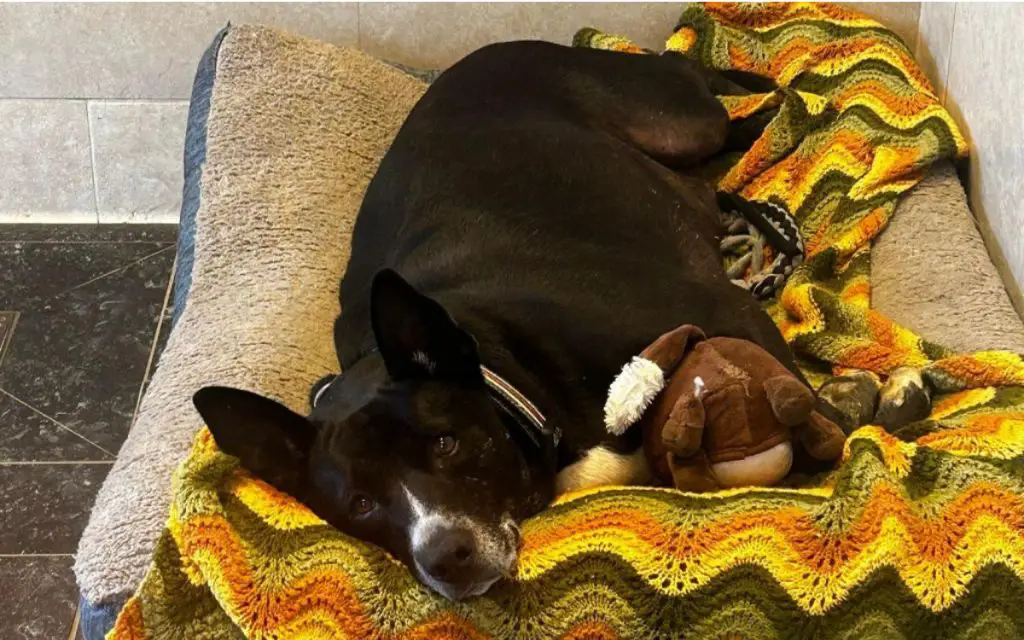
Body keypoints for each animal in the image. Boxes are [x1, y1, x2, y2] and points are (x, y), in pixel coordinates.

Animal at [192, 42, 864, 602]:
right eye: (360, 503)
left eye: (445, 442)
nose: (446, 557)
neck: (503, 357)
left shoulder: (728, 310)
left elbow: (819, 417)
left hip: (679, 121)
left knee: (699, 80)